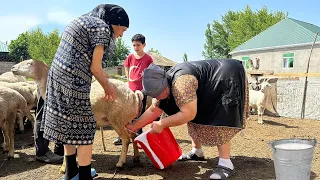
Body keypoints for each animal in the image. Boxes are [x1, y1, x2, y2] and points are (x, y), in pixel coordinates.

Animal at [10, 59, 144, 172]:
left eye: (29, 63)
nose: (13, 68)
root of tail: (134, 95)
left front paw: (64, 168)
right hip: (126, 120)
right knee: (133, 135)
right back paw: (136, 157)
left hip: (117, 119)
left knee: (126, 139)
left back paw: (120, 163)